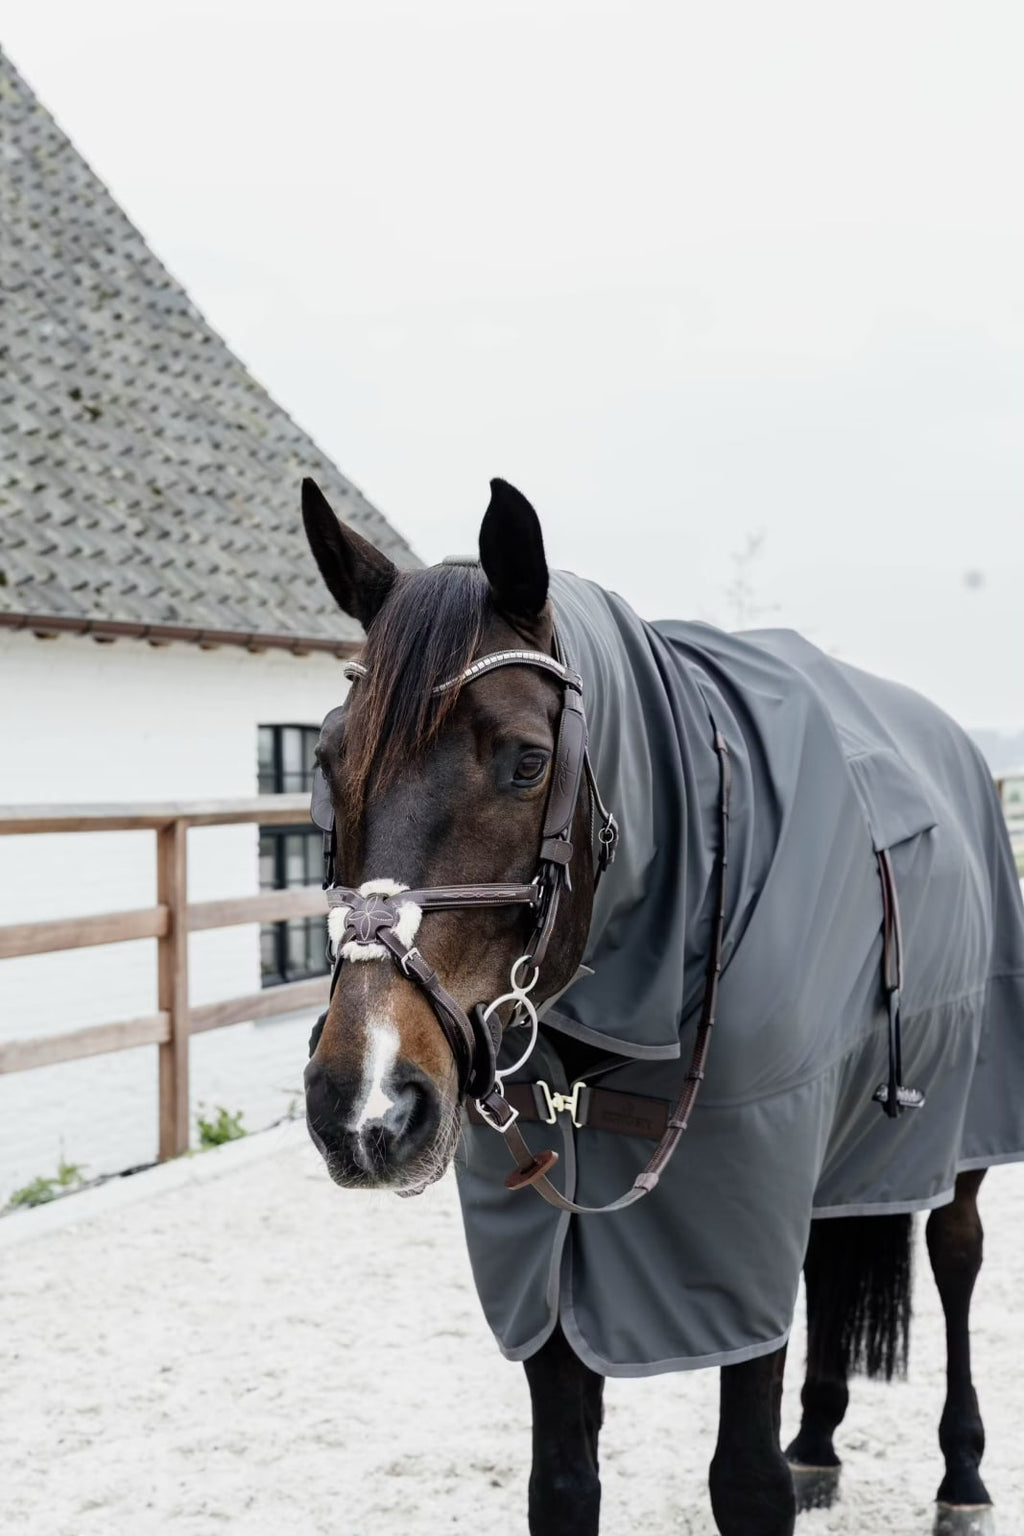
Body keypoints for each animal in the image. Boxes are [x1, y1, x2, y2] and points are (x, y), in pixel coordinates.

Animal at [300, 474, 1024, 1536]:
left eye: (526, 761)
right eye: (324, 760)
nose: (366, 1105)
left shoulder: (733, 1226)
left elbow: (747, 1484)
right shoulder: (551, 1266)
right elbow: (562, 1486)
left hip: (961, 1124)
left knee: (957, 1253)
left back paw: (962, 1476)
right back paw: (819, 1440)